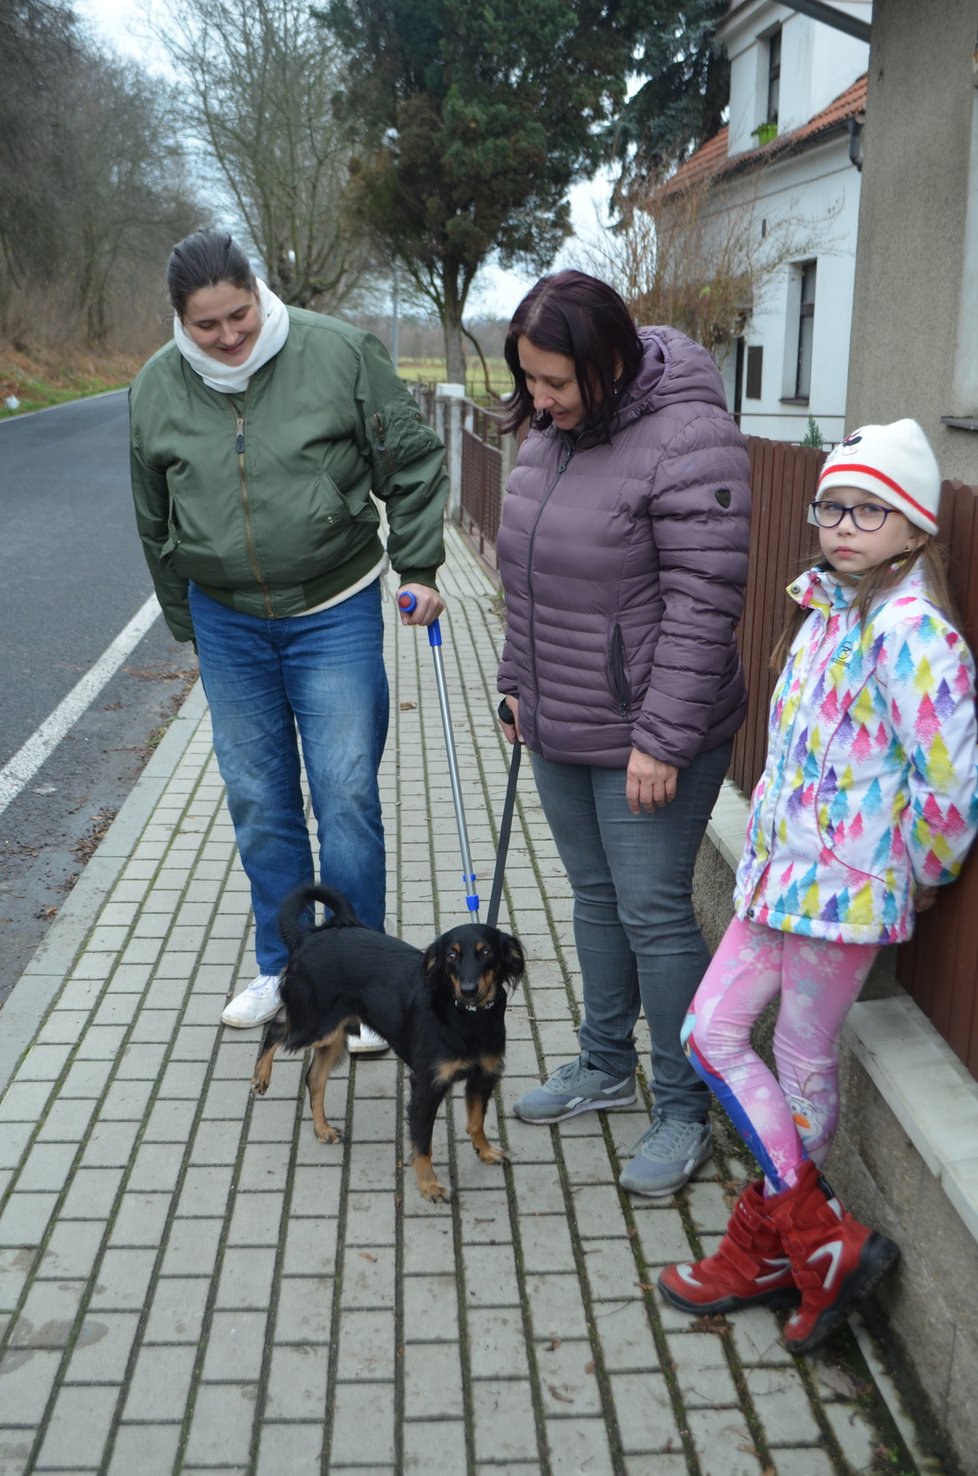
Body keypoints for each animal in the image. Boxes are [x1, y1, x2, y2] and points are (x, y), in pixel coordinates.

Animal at [252, 885, 528, 1198]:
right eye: (451, 956)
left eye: (487, 952)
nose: (469, 990)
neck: (468, 1016)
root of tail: (307, 937)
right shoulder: (427, 1084)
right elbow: (422, 1143)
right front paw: (429, 1185)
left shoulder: (484, 1075)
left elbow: (476, 1121)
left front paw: (485, 1151)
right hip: (314, 1025)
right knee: (277, 1028)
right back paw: (261, 1076)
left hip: (335, 1030)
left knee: (314, 1077)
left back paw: (322, 1129)